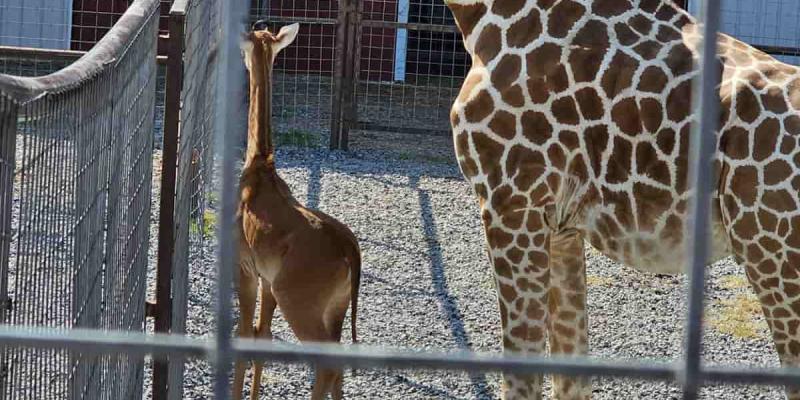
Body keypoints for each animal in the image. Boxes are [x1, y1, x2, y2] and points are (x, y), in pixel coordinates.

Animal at [233, 22, 361, 400]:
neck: (258, 167)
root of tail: (350, 252)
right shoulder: (267, 278)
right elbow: (261, 334)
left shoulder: (245, 267)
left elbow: (244, 335)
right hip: (336, 305)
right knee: (338, 364)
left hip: (299, 301)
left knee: (327, 363)